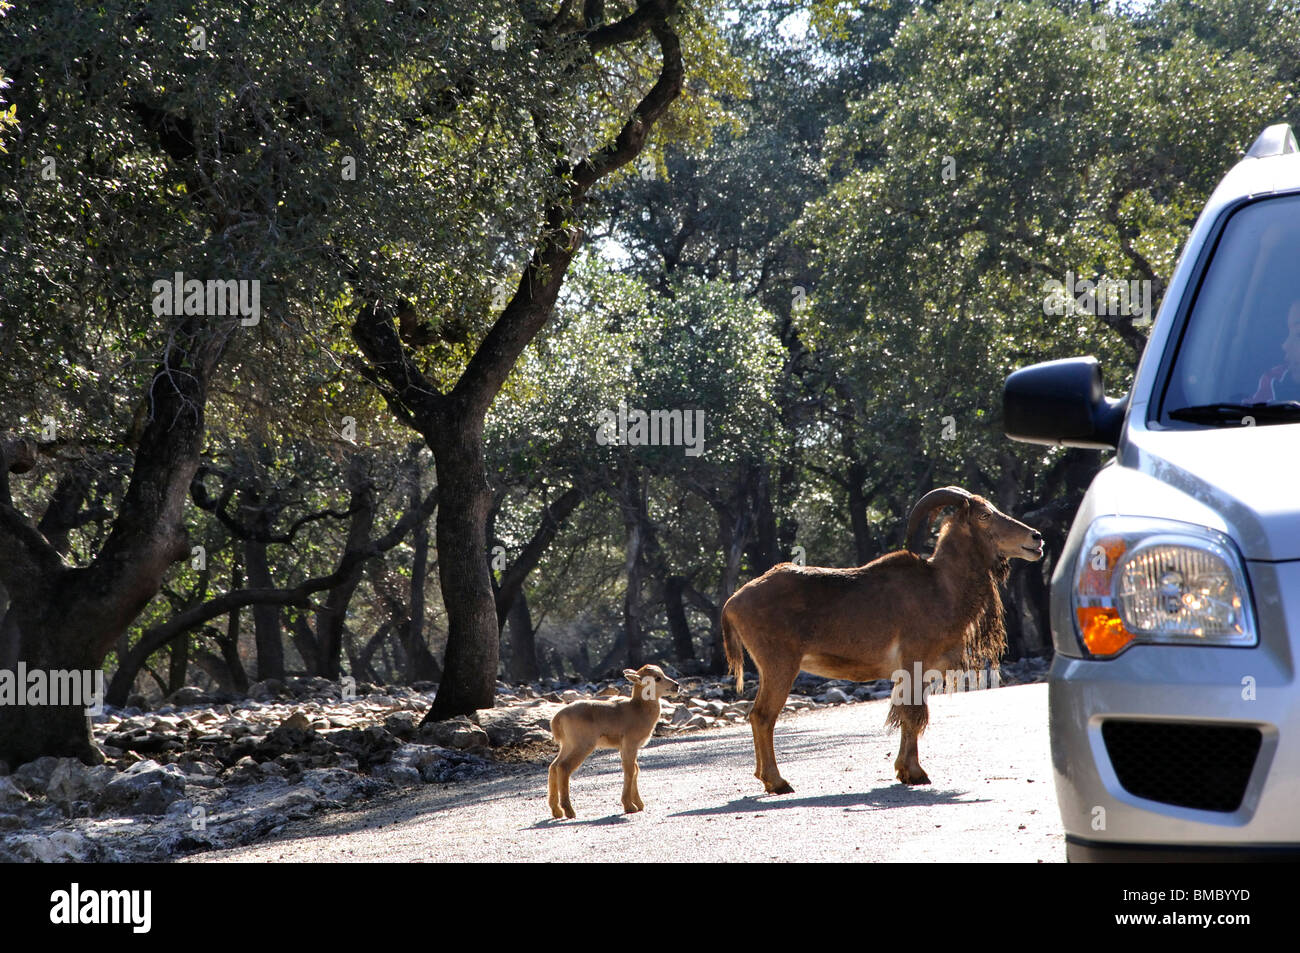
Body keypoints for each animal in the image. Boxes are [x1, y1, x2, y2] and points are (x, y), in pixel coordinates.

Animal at [546, 660, 681, 816]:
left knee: (553, 766)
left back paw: (556, 811)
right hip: (583, 745)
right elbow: (630, 770)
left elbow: (635, 769)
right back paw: (569, 811)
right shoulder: (630, 743)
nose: (676, 685)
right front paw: (629, 806)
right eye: (657, 677)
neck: (638, 710)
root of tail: (557, 718)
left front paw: (639, 804)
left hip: (567, 744)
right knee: (563, 767)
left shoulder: (624, 747)